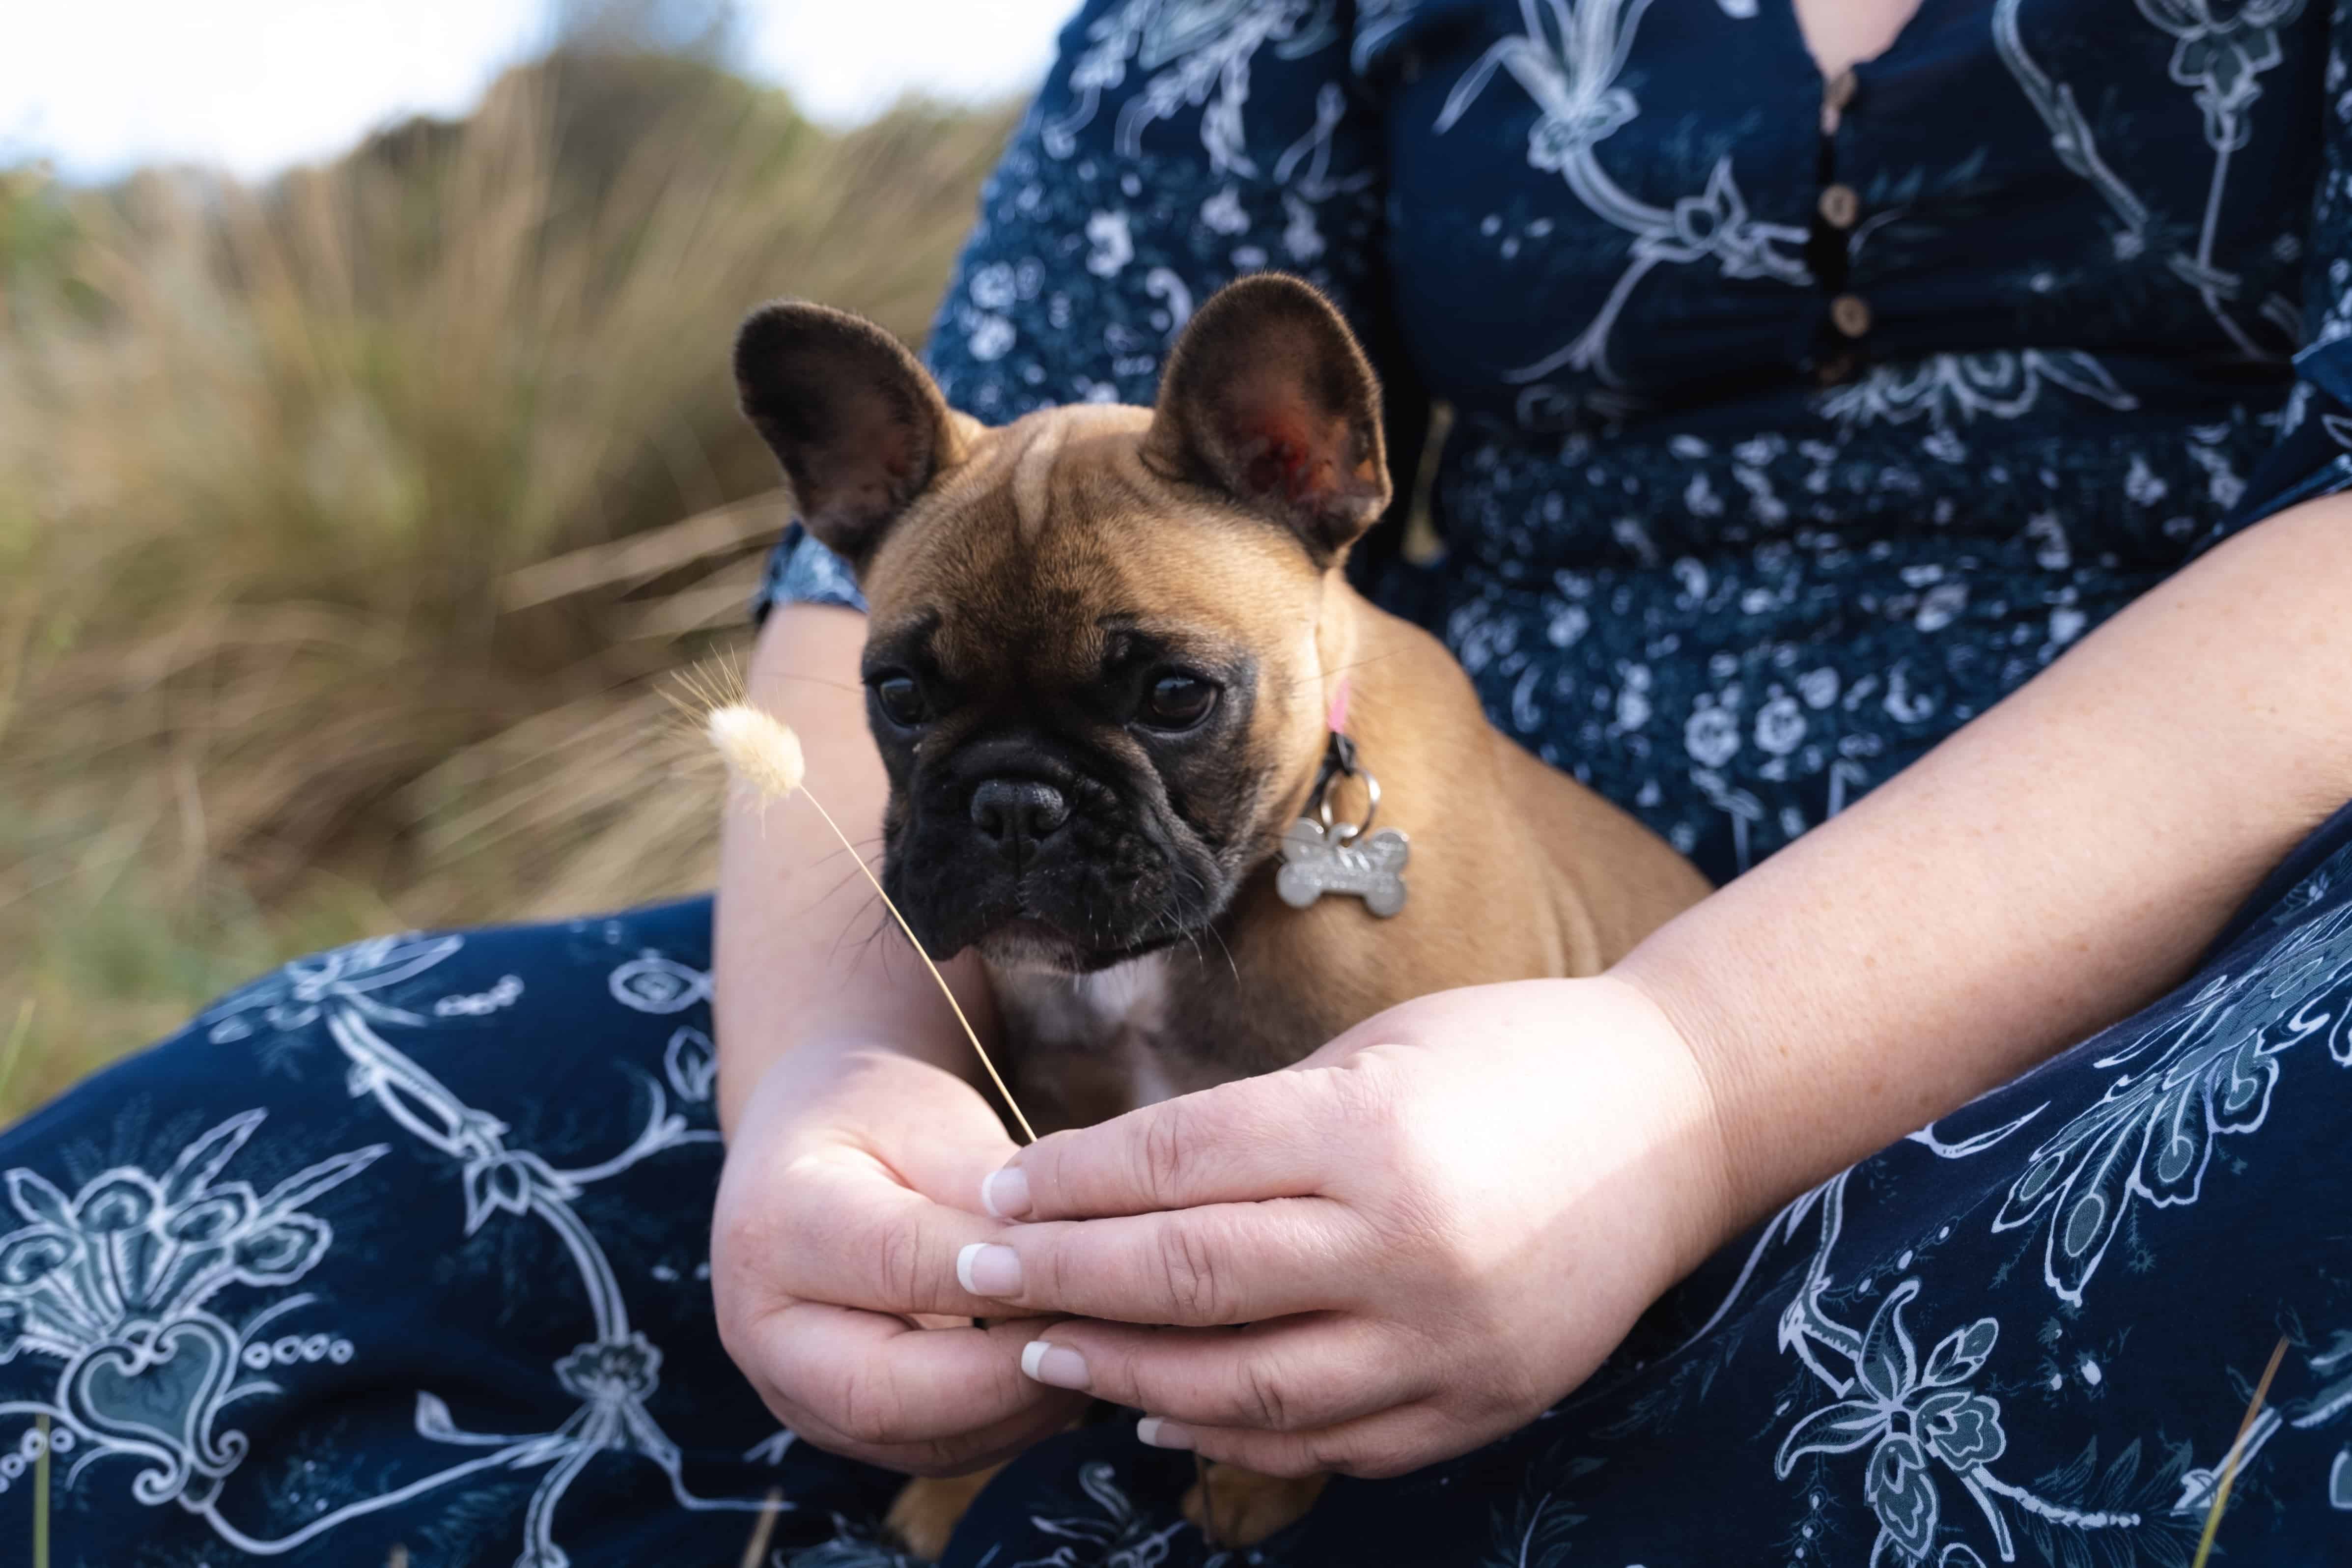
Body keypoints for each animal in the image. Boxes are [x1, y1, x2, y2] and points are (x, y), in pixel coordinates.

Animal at [729, 276, 1712, 1561]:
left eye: (1174, 697)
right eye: (897, 697)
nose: (1013, 800)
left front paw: (1254, 1481)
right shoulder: (1055, 1119)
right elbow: (1021, 1293)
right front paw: (966, 1470)